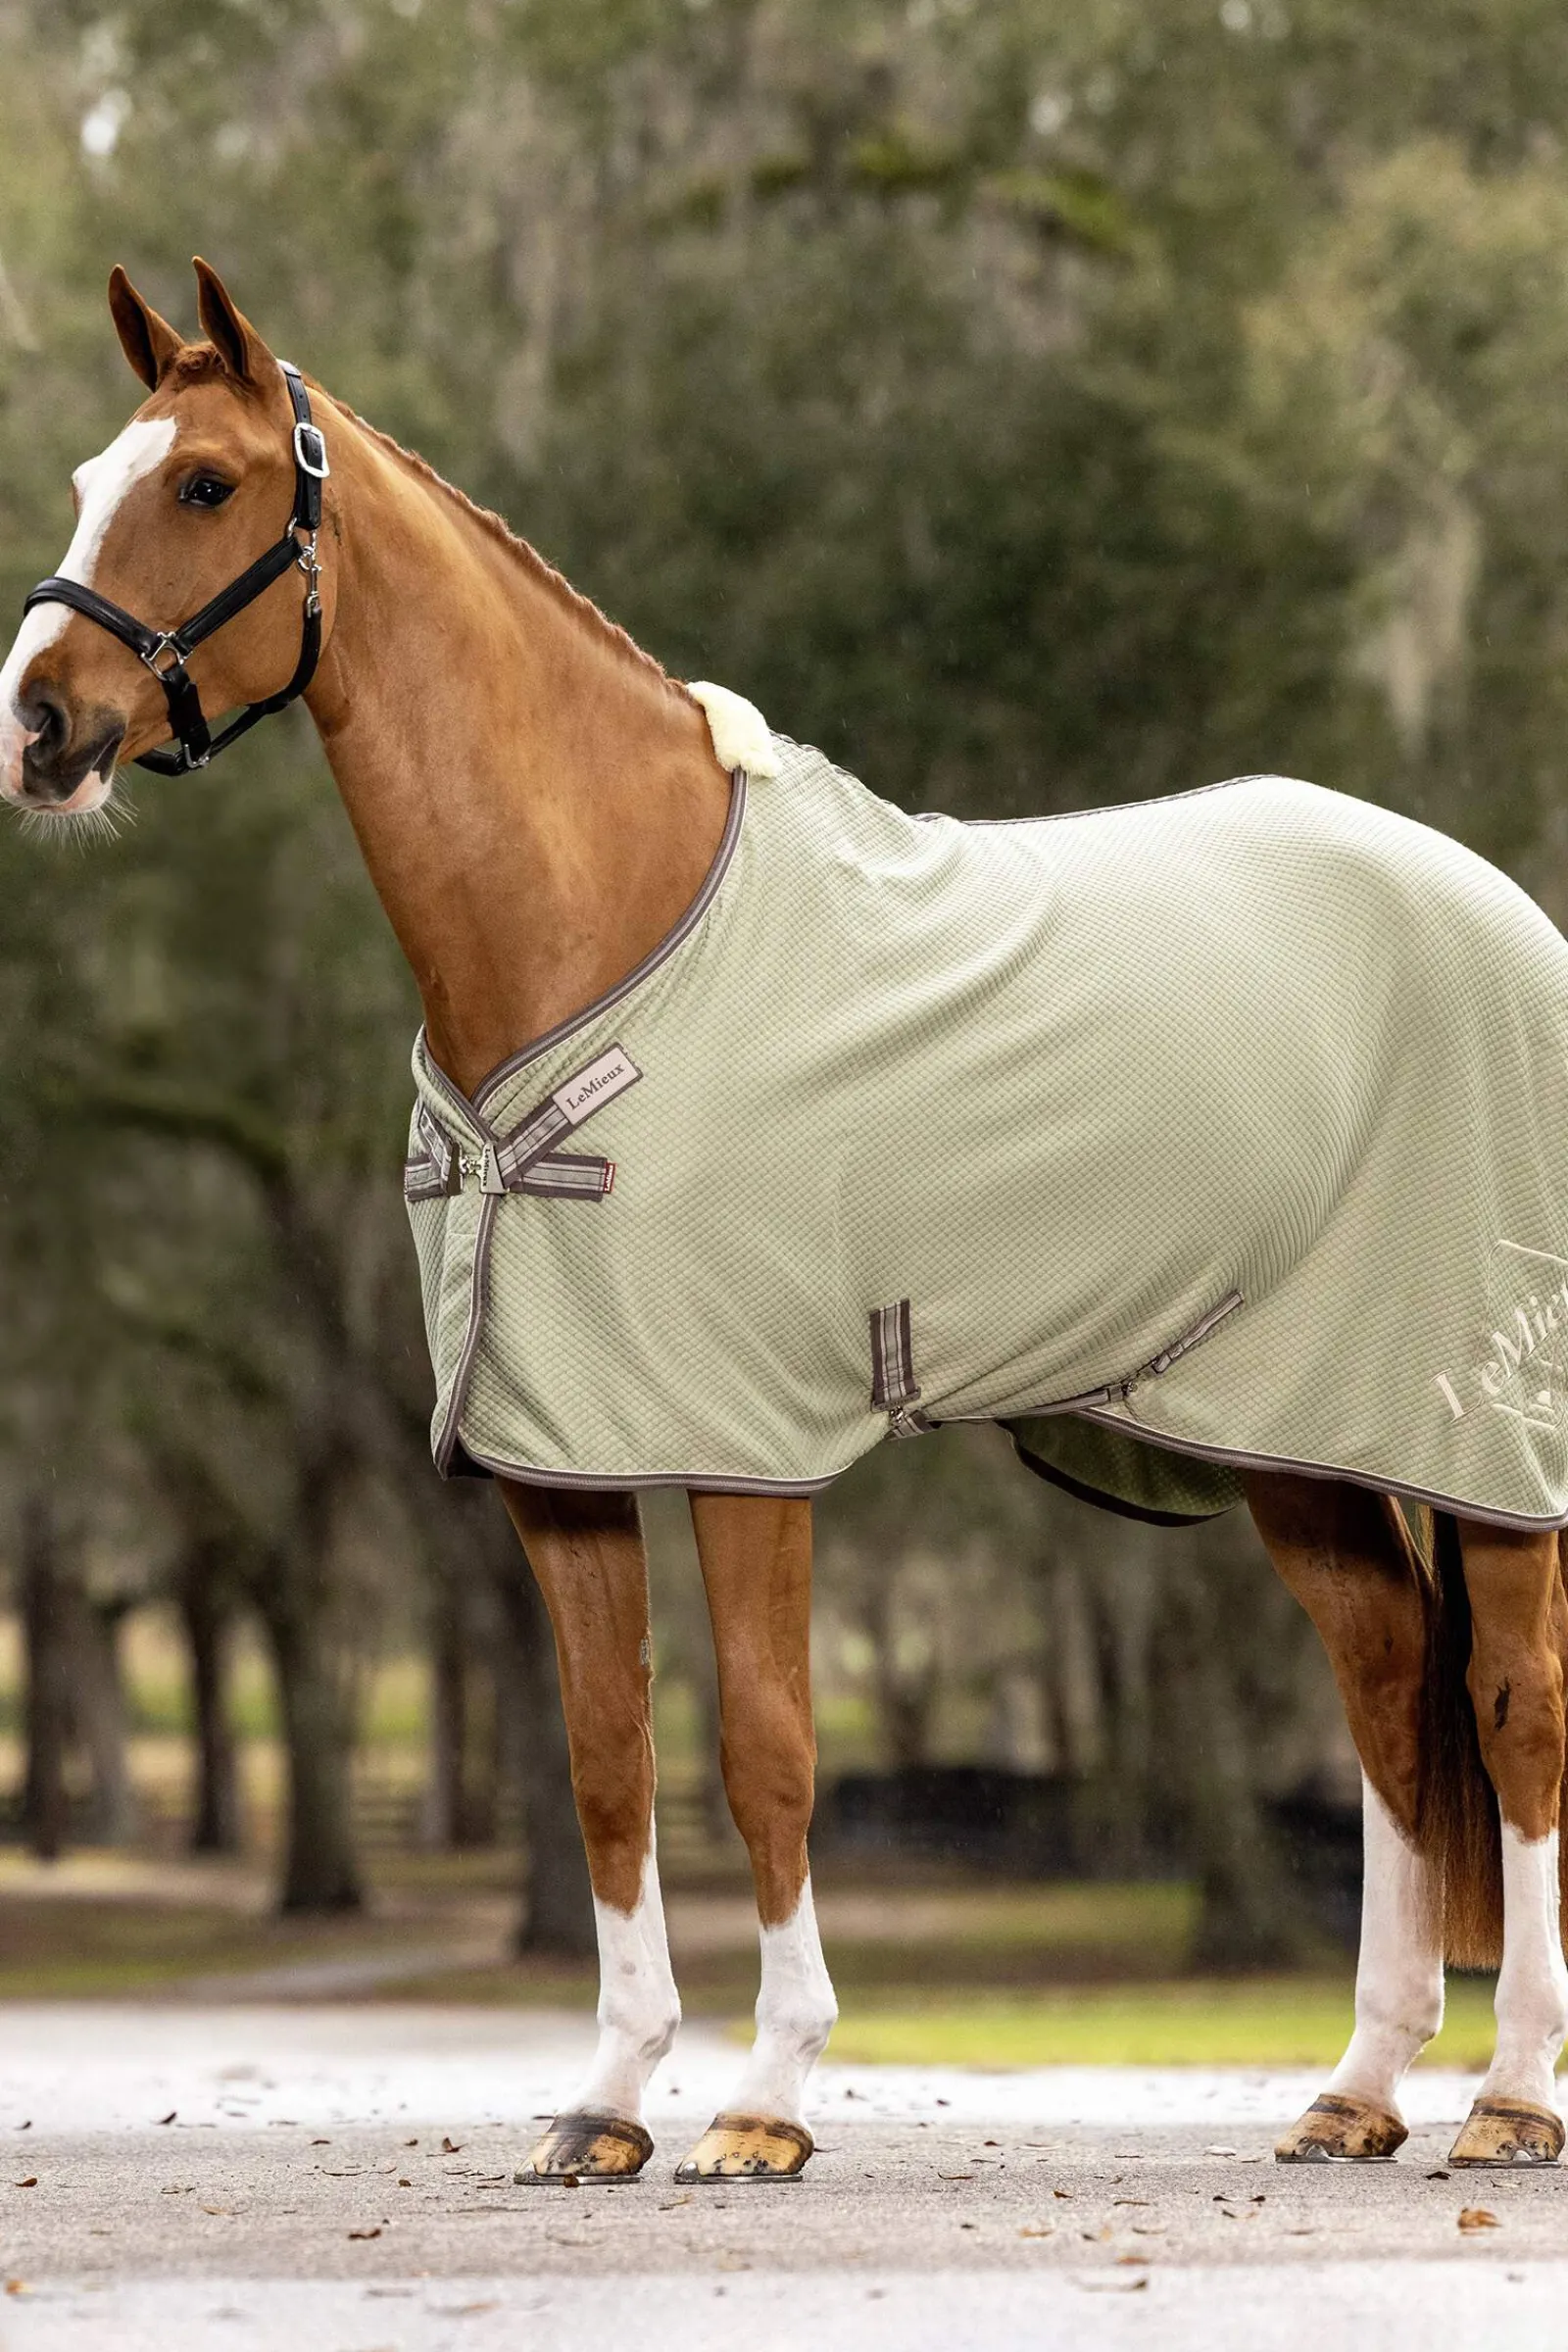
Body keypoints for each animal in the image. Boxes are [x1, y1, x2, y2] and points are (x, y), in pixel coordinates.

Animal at [2, 258, 1566, 2184]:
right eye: (93, 474)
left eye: (206, 484)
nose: (37, 727)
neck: (606, 917)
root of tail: (1497, 904)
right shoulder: (560, 1463)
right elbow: (609, 1757)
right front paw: (604, 2108)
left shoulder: (750, 1445)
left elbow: (762, 1745)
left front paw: (765, 2102)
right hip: (1299, 1442)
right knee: (1385, 1699)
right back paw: (1355, 2092)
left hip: (1480, 1432)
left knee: (1513, 1708)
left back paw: (1509, 2100)